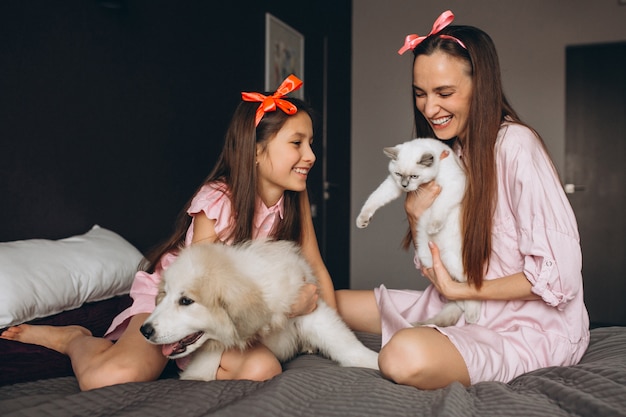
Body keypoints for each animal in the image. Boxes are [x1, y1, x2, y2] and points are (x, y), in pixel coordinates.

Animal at [140, 237, 378, 380]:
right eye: (164, 295)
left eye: (186, 301)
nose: (145, 330)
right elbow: (208, 358)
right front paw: (196, 376)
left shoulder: (308, 308)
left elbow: (344, 343)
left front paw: (374, 361)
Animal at [354, 136, 480, 324]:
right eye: (399, 175)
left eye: (414, 176)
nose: (405, 185)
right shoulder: (392, 184)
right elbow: (374, 198)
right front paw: (362, 220)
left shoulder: (454, 185)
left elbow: (440, 206)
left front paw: (433, 227)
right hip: (428, 259)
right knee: (453, 292)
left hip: (455, 262)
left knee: (469, 288)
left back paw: (472, 316)